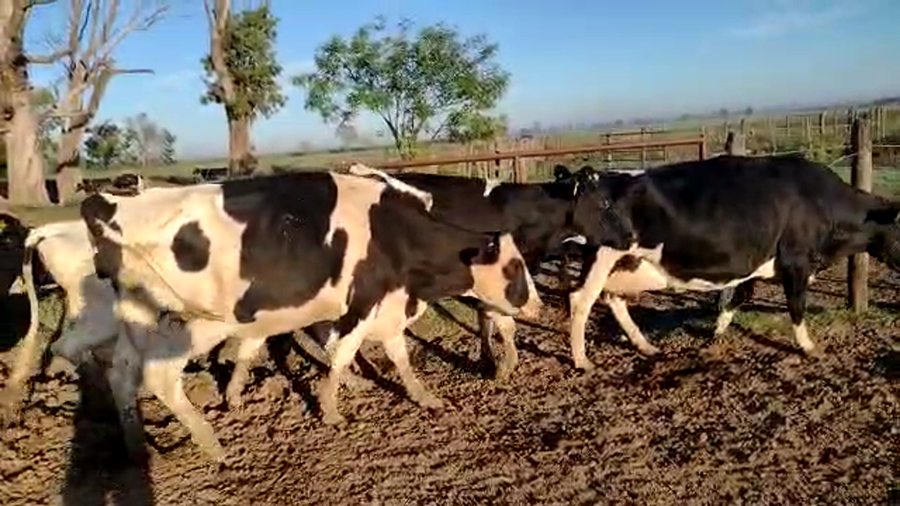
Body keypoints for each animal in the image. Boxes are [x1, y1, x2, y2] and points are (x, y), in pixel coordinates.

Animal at [77, 169, 543, 461]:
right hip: (186, 325)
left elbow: (398, 355)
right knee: (159, 378)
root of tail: (105, 203)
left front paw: (424, 396)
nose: (537, 305)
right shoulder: (364, 301)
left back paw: (137, 449)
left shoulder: (387, 302)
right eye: (514, 269)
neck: (392, 233)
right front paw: (331, 409)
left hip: (137, 326)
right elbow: (341, 354)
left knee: (121, 376)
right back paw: (212, 445)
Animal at [565, 154, 900, 371]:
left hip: (631, 263)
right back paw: (582, 360)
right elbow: (796, 306)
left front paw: (716, 334)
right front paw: (808, 347)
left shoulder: (755, 263)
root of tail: (597, 178)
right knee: (581, 299)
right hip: (604, 255)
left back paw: (645, 345)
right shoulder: (796, 261)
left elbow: (739, 297)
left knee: (612, 297)